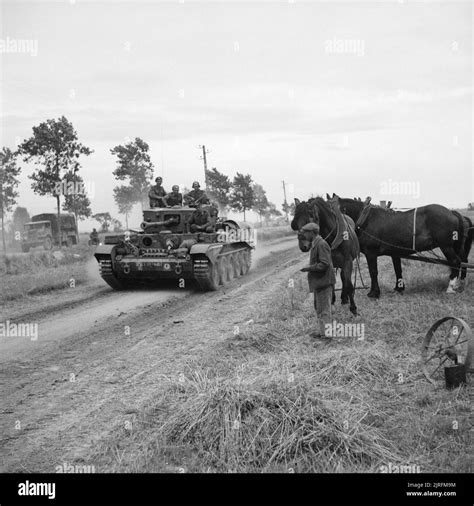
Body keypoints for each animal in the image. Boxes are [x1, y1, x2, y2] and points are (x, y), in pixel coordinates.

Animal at [330, 194, 470, 296]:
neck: (366, 219)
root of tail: (451, 212)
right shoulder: (395, 253)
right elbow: (398, 270)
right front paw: (399, 288)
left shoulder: (371, 253)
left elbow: (373, 272)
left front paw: (374, 293)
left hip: (446, 246)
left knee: (456, 261)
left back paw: (451, 288)